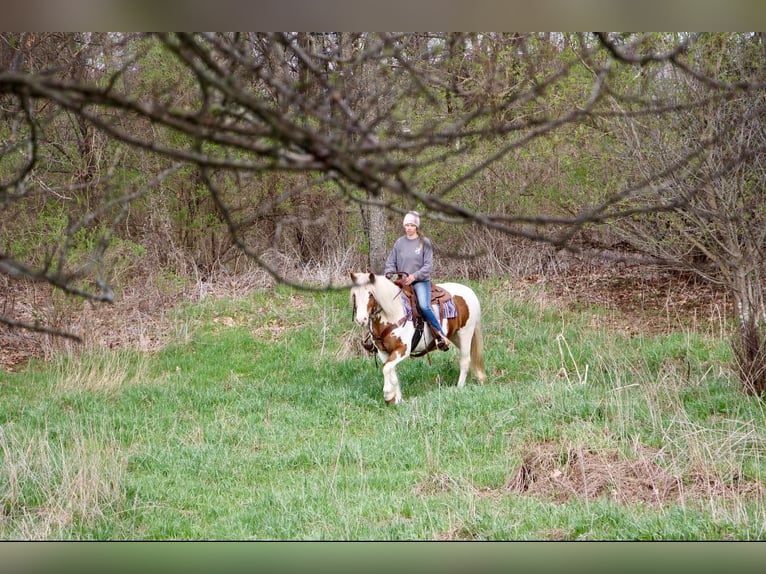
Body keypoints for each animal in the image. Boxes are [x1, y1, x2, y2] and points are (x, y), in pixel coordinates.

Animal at [350, 274, 486, 404]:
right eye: (354, 294)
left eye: (370, 294)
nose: (361, 319)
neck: (392, 313)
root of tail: (470, 292)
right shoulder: (383, 352)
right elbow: (392, 372)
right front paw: (398, 400)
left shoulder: (402, 350)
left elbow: (387, 368)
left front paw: (388, 395)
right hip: (455, 336)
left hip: (466, 333)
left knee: (465, 360)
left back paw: (459, 387)